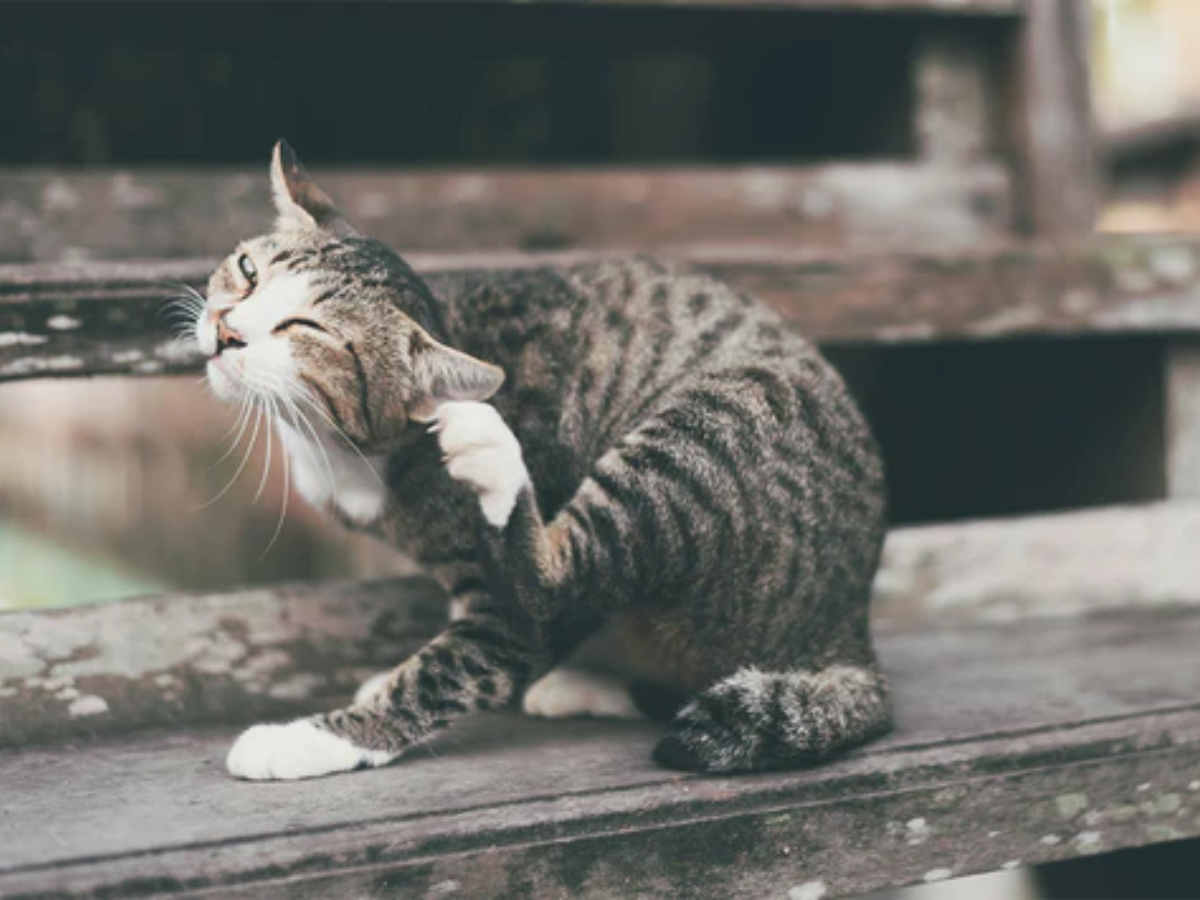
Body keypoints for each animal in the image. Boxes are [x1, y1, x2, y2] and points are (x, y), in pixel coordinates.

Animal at [194, 141, 892, 782]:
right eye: (248, 269)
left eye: (306, 329)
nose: (226, 329)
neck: (350, 446)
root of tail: (848, 624)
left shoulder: (508, 619)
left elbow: (464, 663)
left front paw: (312, 739)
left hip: (704, 430)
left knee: (559, 584)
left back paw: (495, 459)